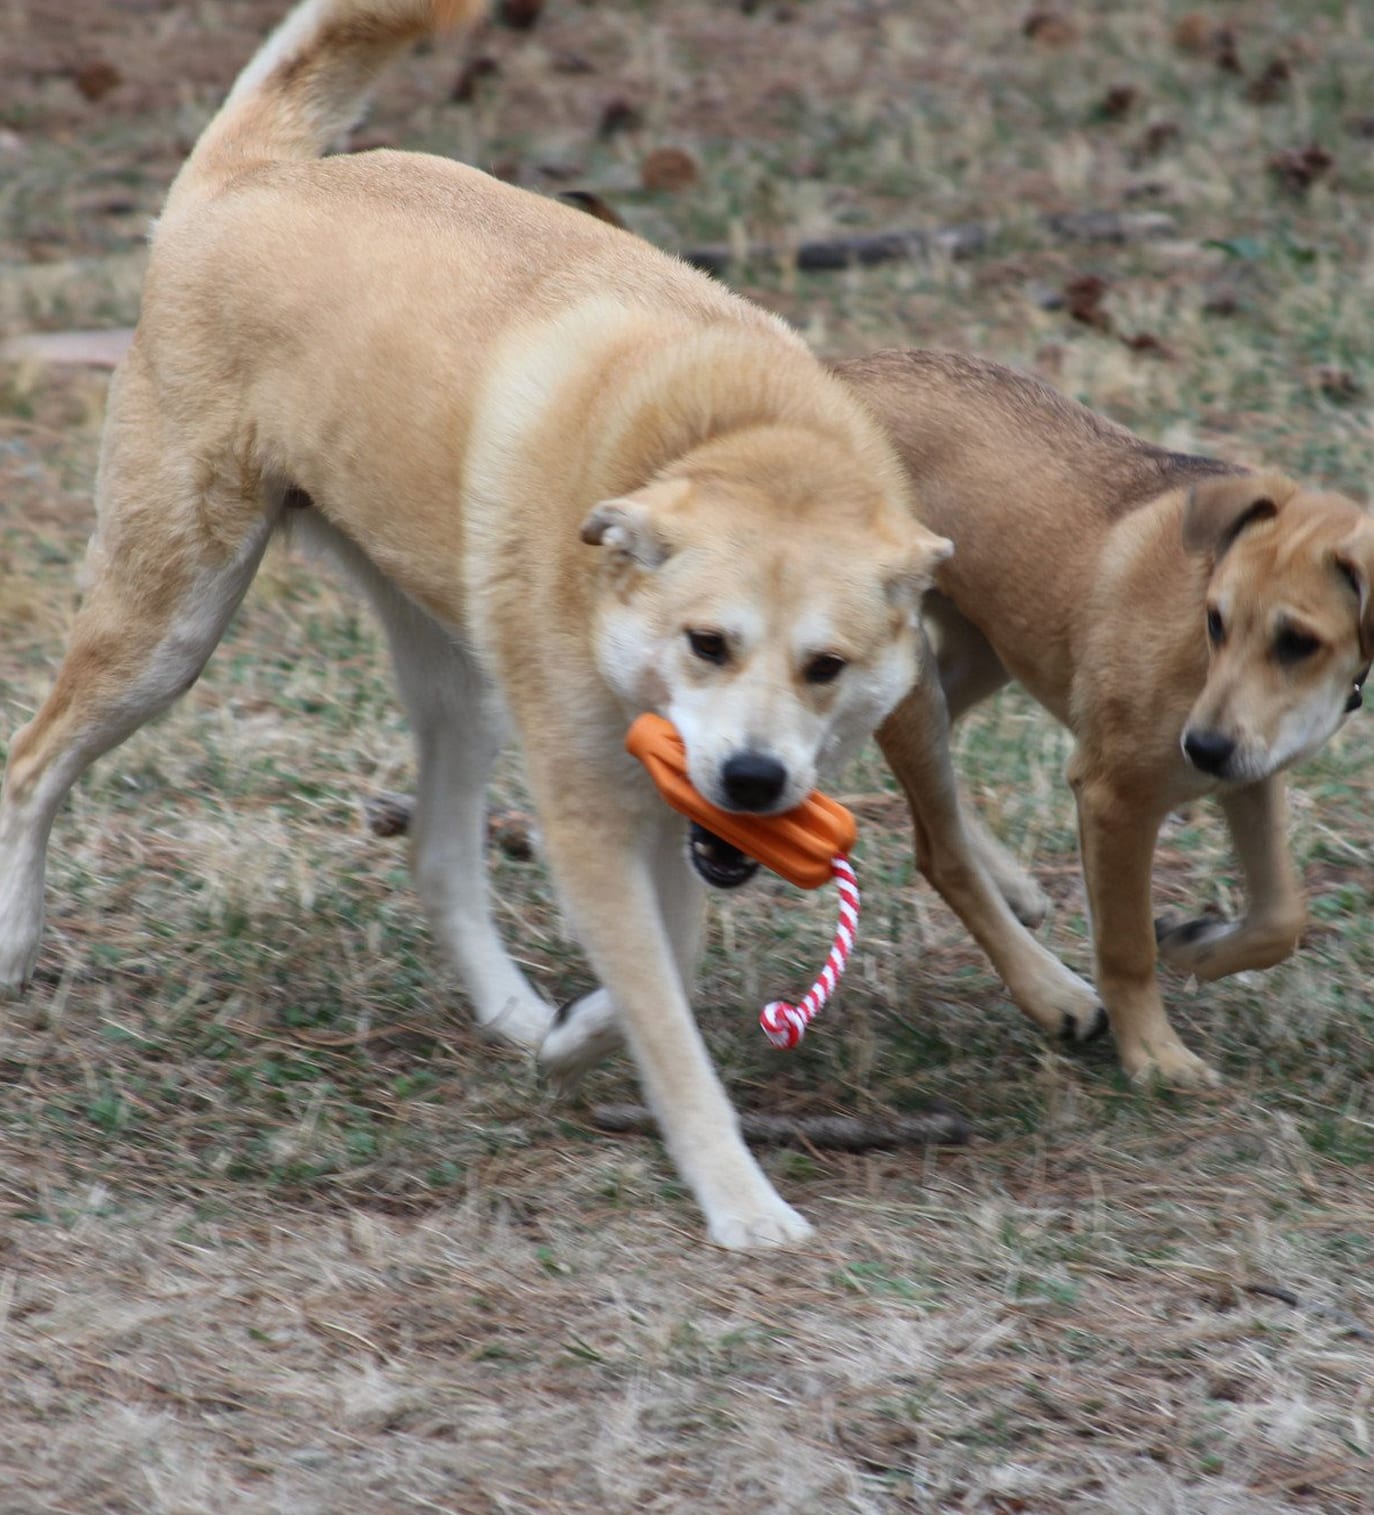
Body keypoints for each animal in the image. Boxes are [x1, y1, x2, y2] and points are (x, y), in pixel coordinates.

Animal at [0, 2, 957, 1254]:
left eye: (826, 667)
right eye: (707, 643)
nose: (752, 781)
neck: (725, 434)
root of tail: (248, 177)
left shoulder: (661, 816)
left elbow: (669, 967)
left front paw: (575, 1037)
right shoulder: (589, 813)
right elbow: (669, 1025)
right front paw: (740, 1200)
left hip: (459, 683)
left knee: (439, 856)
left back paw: (510, 1010)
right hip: (171, 623)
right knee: (31, 762)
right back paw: (12, 941)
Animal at [842, 351, 1369, 1090]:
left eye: (1298, 641)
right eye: (1216, 620)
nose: (1199, 747)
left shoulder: (1249, 773)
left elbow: (1281, 916)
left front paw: (1196, 946)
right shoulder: (1115, 798)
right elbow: (1126, 946)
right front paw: (1153, 1054)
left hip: (981, 648)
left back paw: (1014, 885)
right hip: (913, 669)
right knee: (937, 852)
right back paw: (1051, 992)